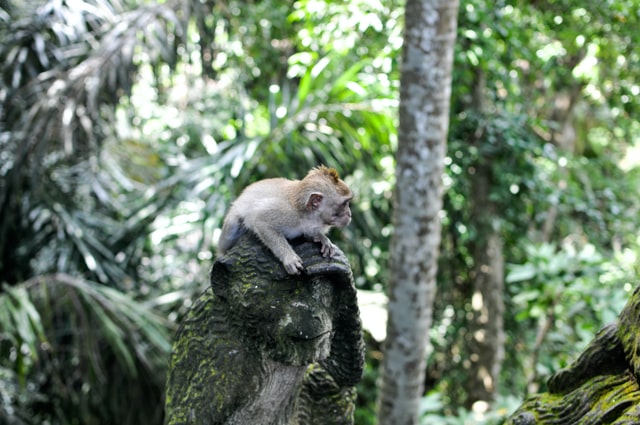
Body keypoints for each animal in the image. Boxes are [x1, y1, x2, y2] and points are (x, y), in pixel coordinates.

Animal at [218, 165, 352, 275]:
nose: (350, 214)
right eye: (345, 203)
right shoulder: (287, 214)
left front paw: (321, 238)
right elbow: (261, 221)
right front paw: (289, 258)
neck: (307, 215)